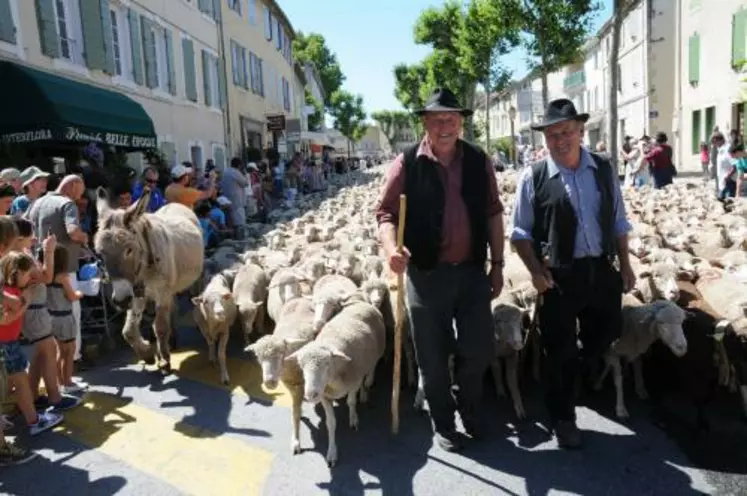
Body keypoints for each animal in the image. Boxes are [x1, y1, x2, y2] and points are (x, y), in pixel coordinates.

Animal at [284, 300, 388, 466]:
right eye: (301, 365)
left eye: (327, 363)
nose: (311, 394)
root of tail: (361, 302)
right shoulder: (325, 396)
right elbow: (331, 423)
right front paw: (332, 452)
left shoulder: (353, 384)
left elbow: (351, 402)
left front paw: (353, 419)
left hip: (377, 351)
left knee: (372, 368)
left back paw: (367, 386)